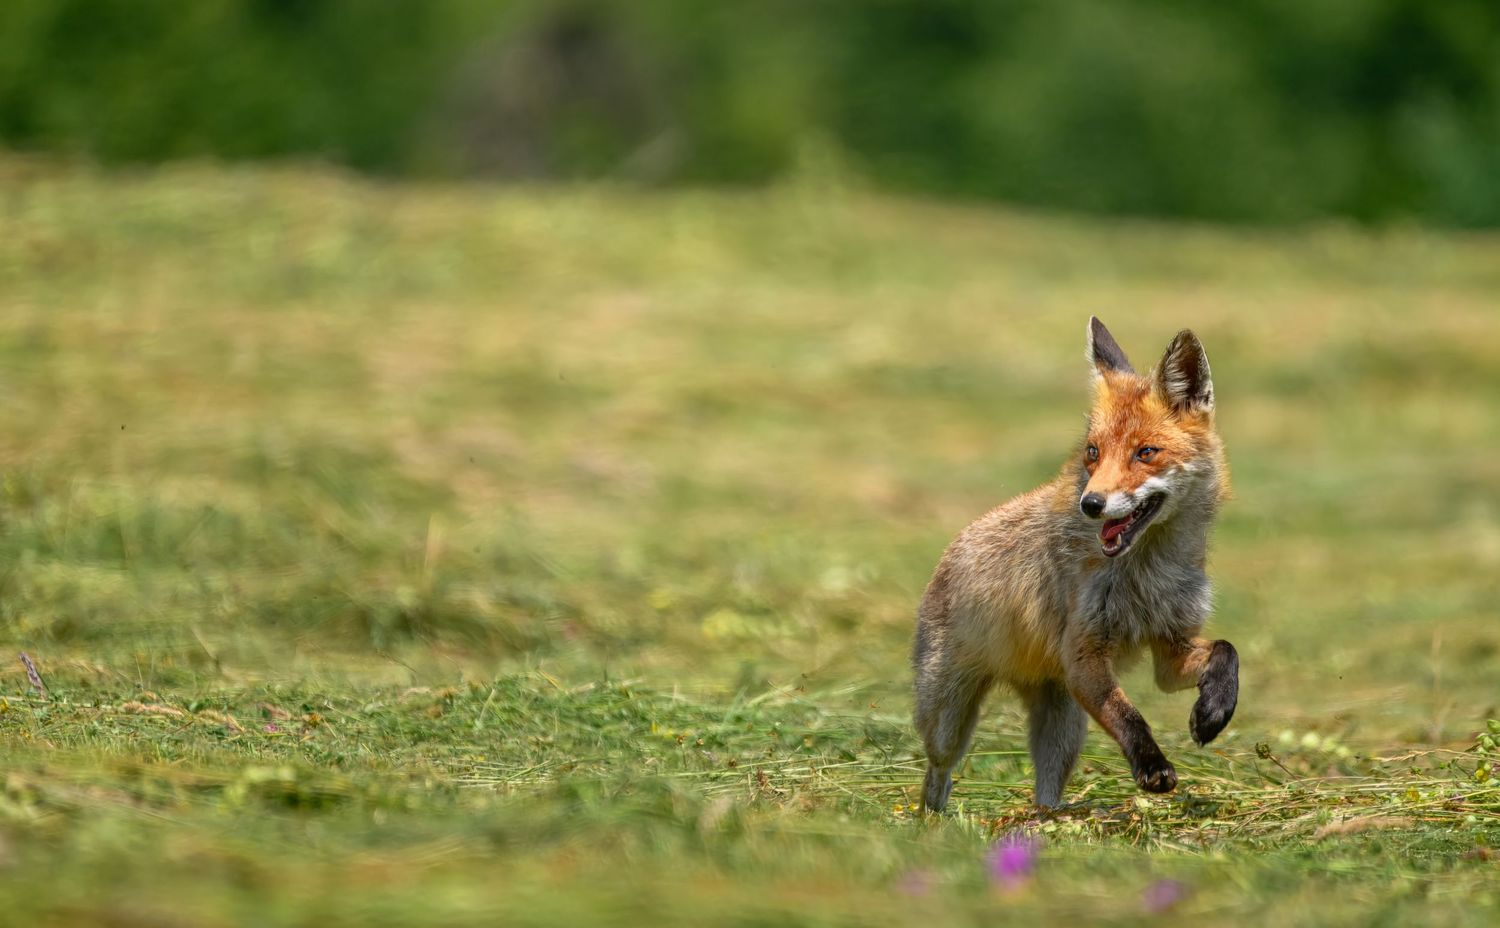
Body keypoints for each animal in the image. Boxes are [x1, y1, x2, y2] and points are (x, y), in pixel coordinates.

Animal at [913, 318, 1238, 811]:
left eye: (1146, 452)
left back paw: (1047, 819)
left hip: (1062, 729)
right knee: (938, 771)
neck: (1148, 572)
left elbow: (1226, 650)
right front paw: (1152, 766)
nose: (1091, 503)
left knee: (1045, 793)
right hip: (949, 718)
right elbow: (1128, 715)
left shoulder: (1171, 646)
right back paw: (933, 819)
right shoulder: (1084, 655)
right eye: (1092, 452)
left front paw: (1213, 712)